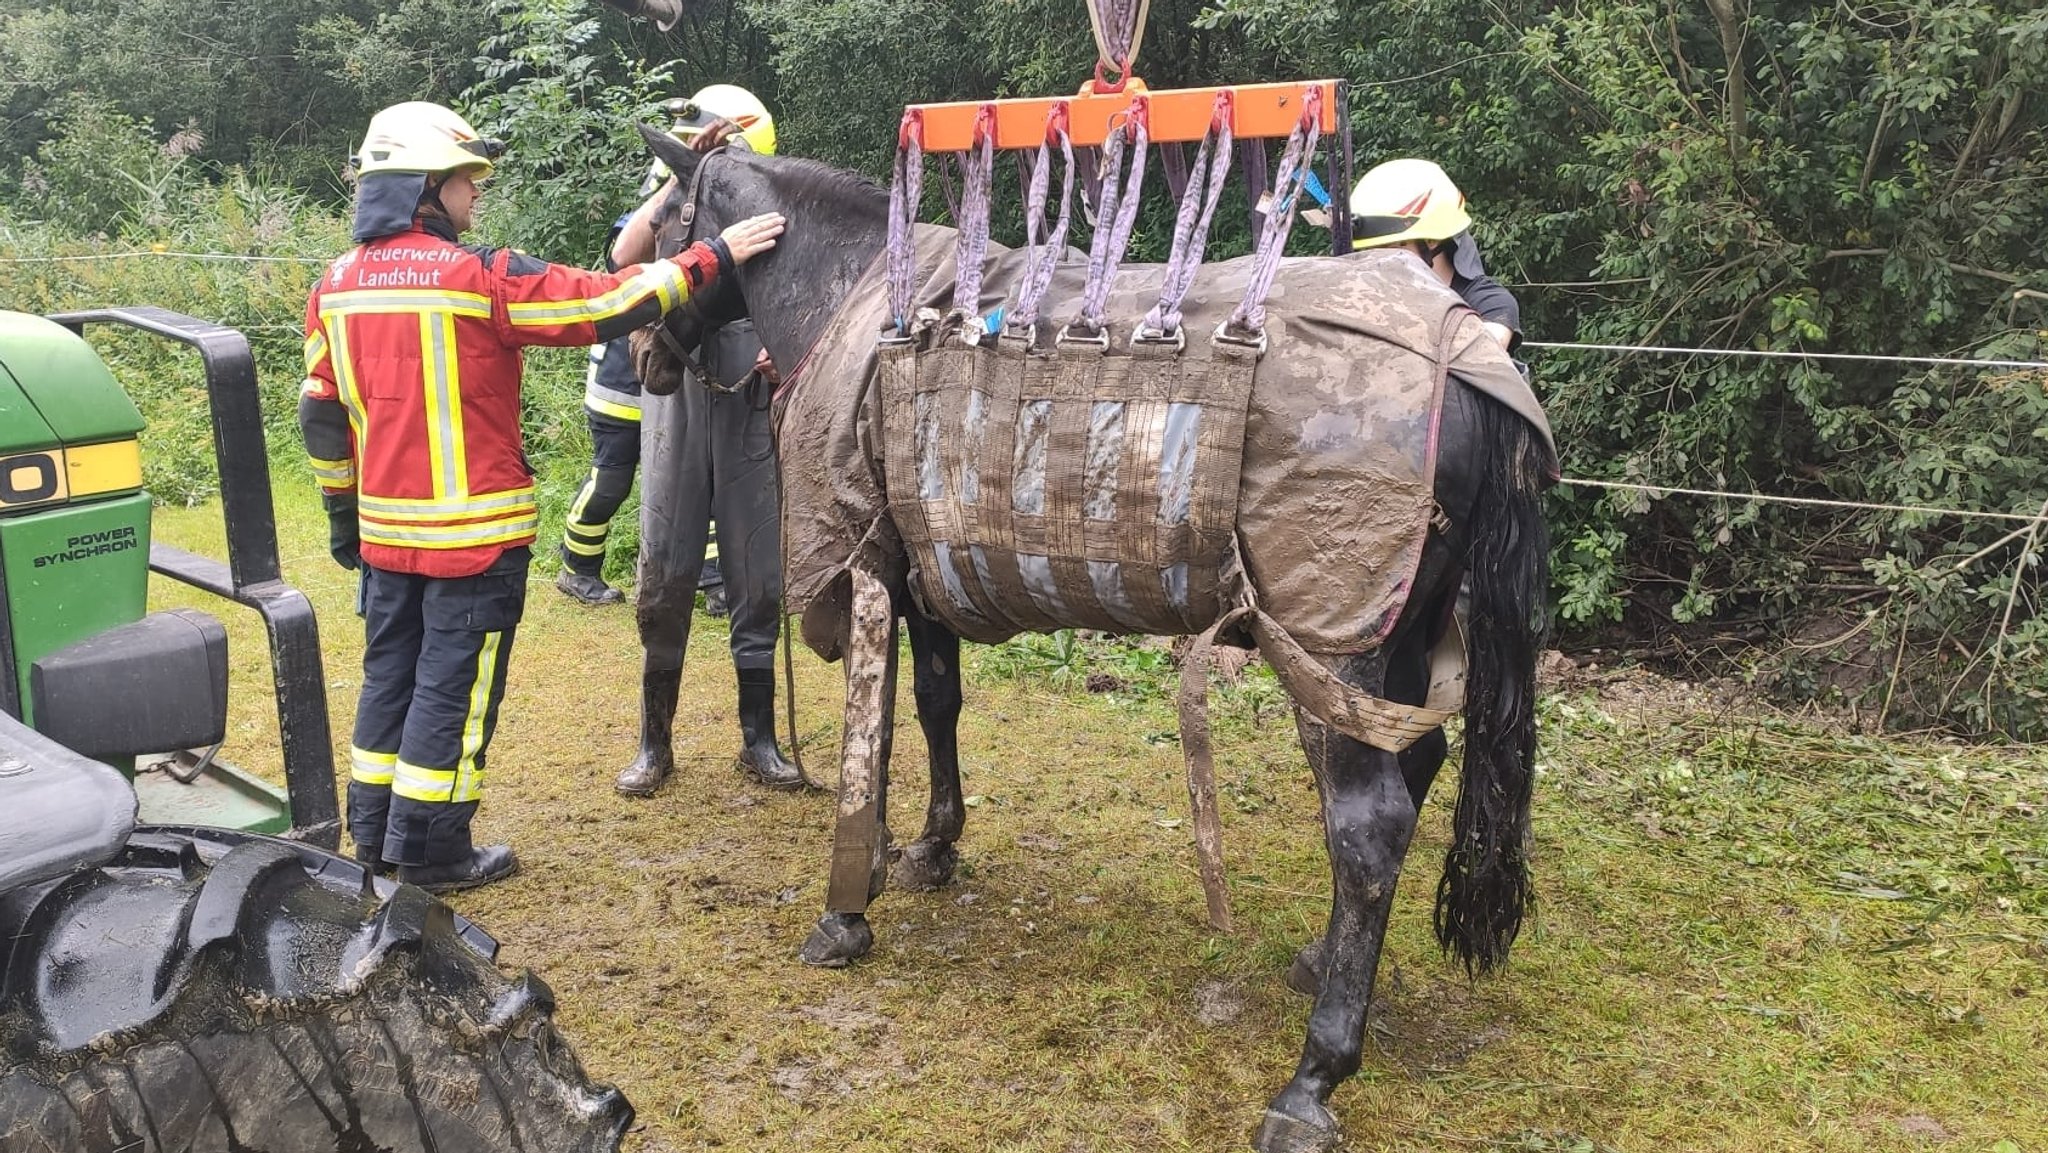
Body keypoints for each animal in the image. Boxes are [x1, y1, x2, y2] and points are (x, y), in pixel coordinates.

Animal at [638, 126, 1548, 1153]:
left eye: (663, 220)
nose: (643, 350)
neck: (865, 303)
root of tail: (1465, 364)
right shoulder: (929, 578)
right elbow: (937, 704)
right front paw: (934, 847)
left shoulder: (871, 567)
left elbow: (871, 731)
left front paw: (849, 906)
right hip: (1401, 640)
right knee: (1419, 762)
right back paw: (1325, 961)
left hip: (1330, 645)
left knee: (1369, 828)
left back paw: (1314, 1076)